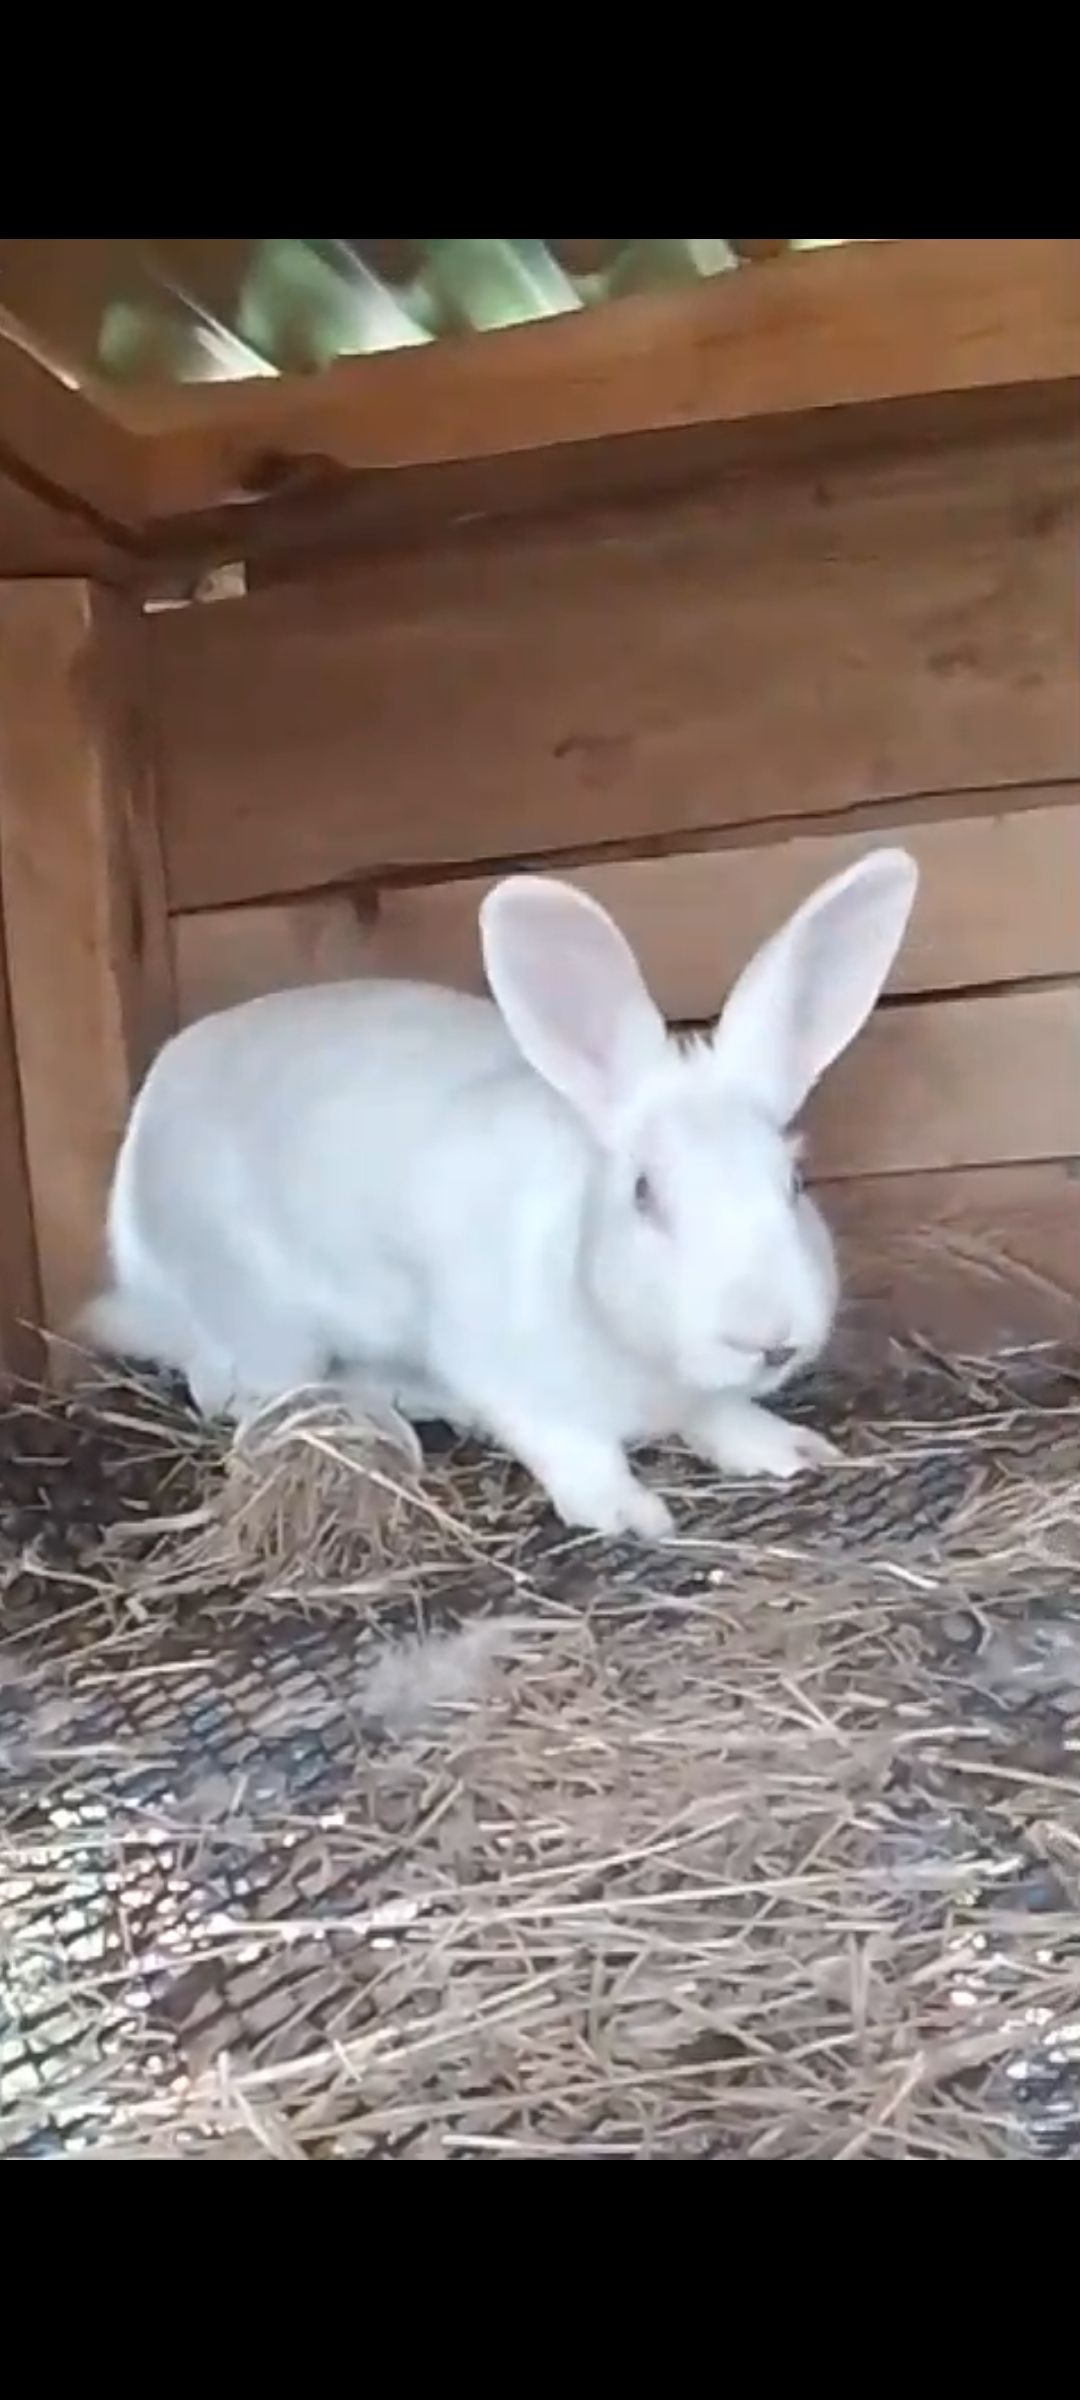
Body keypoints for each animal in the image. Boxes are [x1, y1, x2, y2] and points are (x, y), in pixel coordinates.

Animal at [79, 845, 918, 1541]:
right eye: (645, 1194)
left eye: (794, 1182)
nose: (768, 1337)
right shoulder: (511, 1375)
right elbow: (575, 1448)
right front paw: (630, 1513)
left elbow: (723, 1412)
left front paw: (789, 1451)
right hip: (260, 1312)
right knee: (236, 1388)